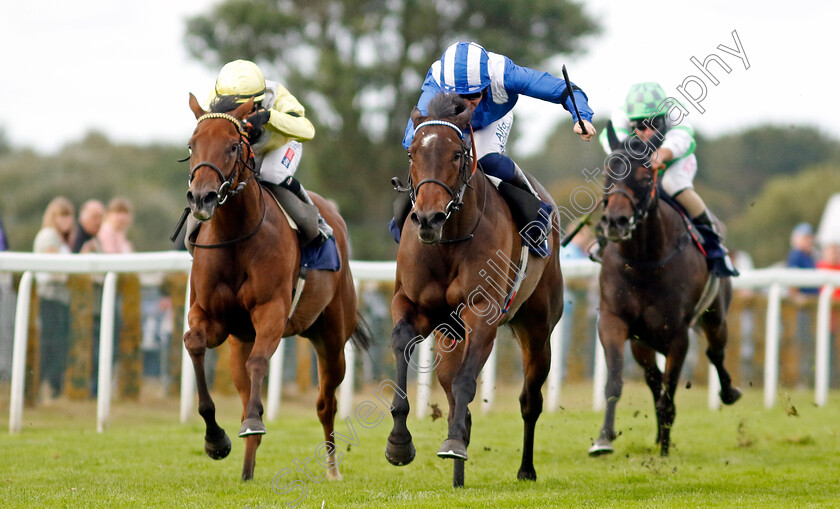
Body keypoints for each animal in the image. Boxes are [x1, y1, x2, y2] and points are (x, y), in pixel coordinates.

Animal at [184, 93, 368, 478]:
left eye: (233, 145)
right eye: (192, 145)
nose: (201, 198)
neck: (236, 236)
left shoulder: (271, 311)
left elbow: (259, 364)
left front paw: (255, 421)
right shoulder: (211, 316)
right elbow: (194, 343)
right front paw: (215, 439)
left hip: (332, 338)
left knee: (325, 402)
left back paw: (332, 468)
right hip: (240, 340)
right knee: (244, 390)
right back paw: (246, 469)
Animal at [388, 93, 564, 486]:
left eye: (457, 154)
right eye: (412, 155)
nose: (428, 218)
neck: (449, 240)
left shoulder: (482, 312)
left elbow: (467, 382)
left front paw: (453, 442)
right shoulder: (413, 306)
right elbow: (402, 344)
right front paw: (399, 442)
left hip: (537, 329)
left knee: (530, 401)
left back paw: (525, 469)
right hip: (448, 336)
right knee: (453, 390)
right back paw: (458, 475)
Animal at [588, 126, 740, 456]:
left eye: (646, 177)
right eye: (608, 173)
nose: (616, 222)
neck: (644, 261)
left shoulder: (677, 335)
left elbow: (668, 394)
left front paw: (665, 451)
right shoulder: (614, 321)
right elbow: (615, 382)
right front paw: (603, 438)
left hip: (715, 315)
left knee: (715, 351)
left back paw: (729, 392)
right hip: (641, 342)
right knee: (652, 378)